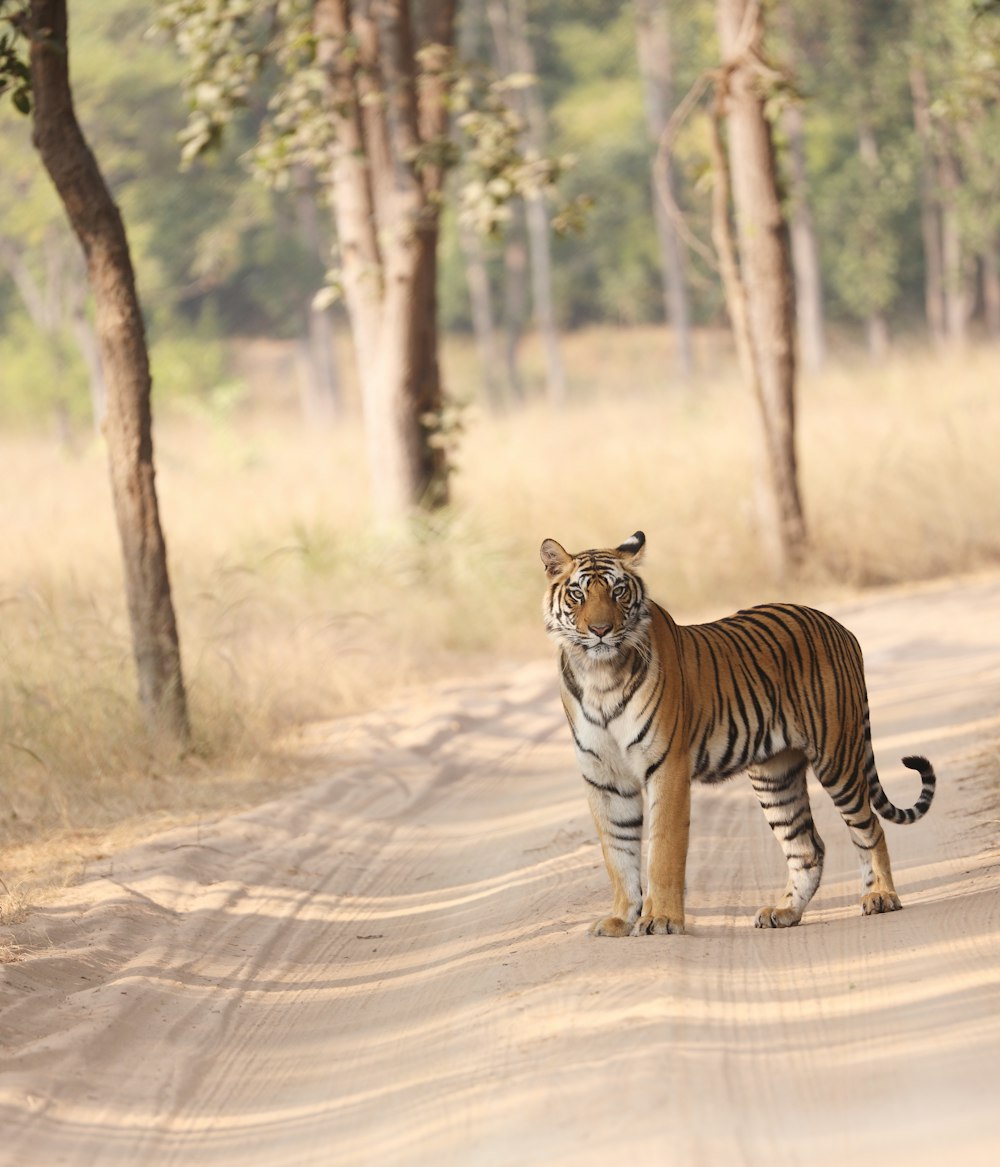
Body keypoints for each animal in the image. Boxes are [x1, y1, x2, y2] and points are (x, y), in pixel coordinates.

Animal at [539, 534, 938, 933]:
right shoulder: (604, 778)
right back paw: (784, 911)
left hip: (836, 757)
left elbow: (663, 850)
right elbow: (617, 853)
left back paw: (881, 896)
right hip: (775, 775)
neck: (600, 675)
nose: (601, 630)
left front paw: (662, 919)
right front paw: (621, 919)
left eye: (618, 591)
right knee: (807, 847)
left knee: (870, 828)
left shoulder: (666, 766)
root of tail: (839, 626)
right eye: (577, 595)